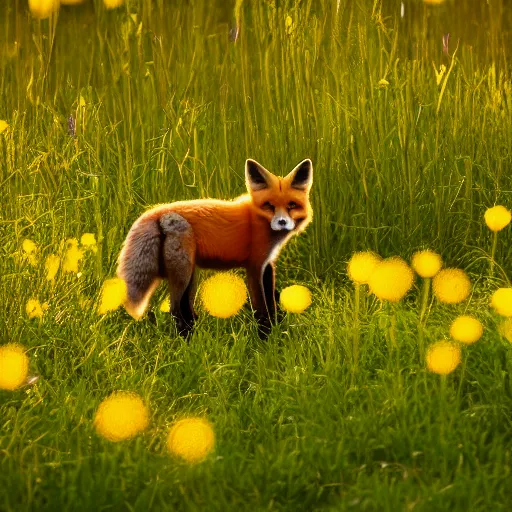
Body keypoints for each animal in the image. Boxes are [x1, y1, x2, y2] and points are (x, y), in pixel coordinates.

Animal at [116, 158, 314, 338]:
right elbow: (261, 309)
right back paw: (186, 342)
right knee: (175, 310)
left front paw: (277, 328)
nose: (282, 222)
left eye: (291, 205)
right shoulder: (254, 266)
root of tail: (156, 211)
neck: (257, 220)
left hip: (190, 275)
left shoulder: (267, 264)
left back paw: (193, 338)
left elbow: (272, 302)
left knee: (186, 310)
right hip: (183, 273)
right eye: (269, 206)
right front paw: (265, 338)